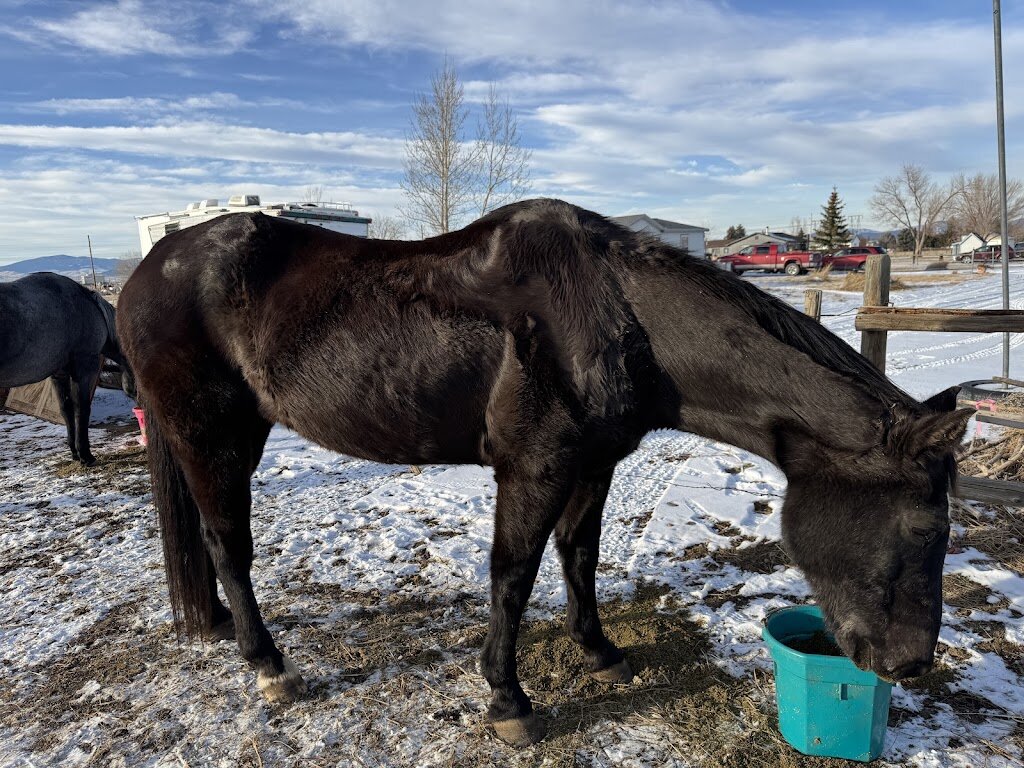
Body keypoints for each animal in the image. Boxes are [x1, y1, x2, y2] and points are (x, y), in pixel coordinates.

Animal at [1, 272, 132, 466]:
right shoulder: (85, 368)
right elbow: (81, 408)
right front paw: (86, 455)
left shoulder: (59, 374)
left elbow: (66, 409)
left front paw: (75, 453)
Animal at [117, 199, 971, 746]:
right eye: (925, 524)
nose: (909, 663)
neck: (616, 318)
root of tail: (144, 272)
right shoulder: (534, 467)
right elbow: (513, 573)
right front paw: (507, 699)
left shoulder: (593, 464)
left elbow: (579, 557)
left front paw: (599, 651)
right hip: (213, 436)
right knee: (229, 545)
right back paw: (267, 665)